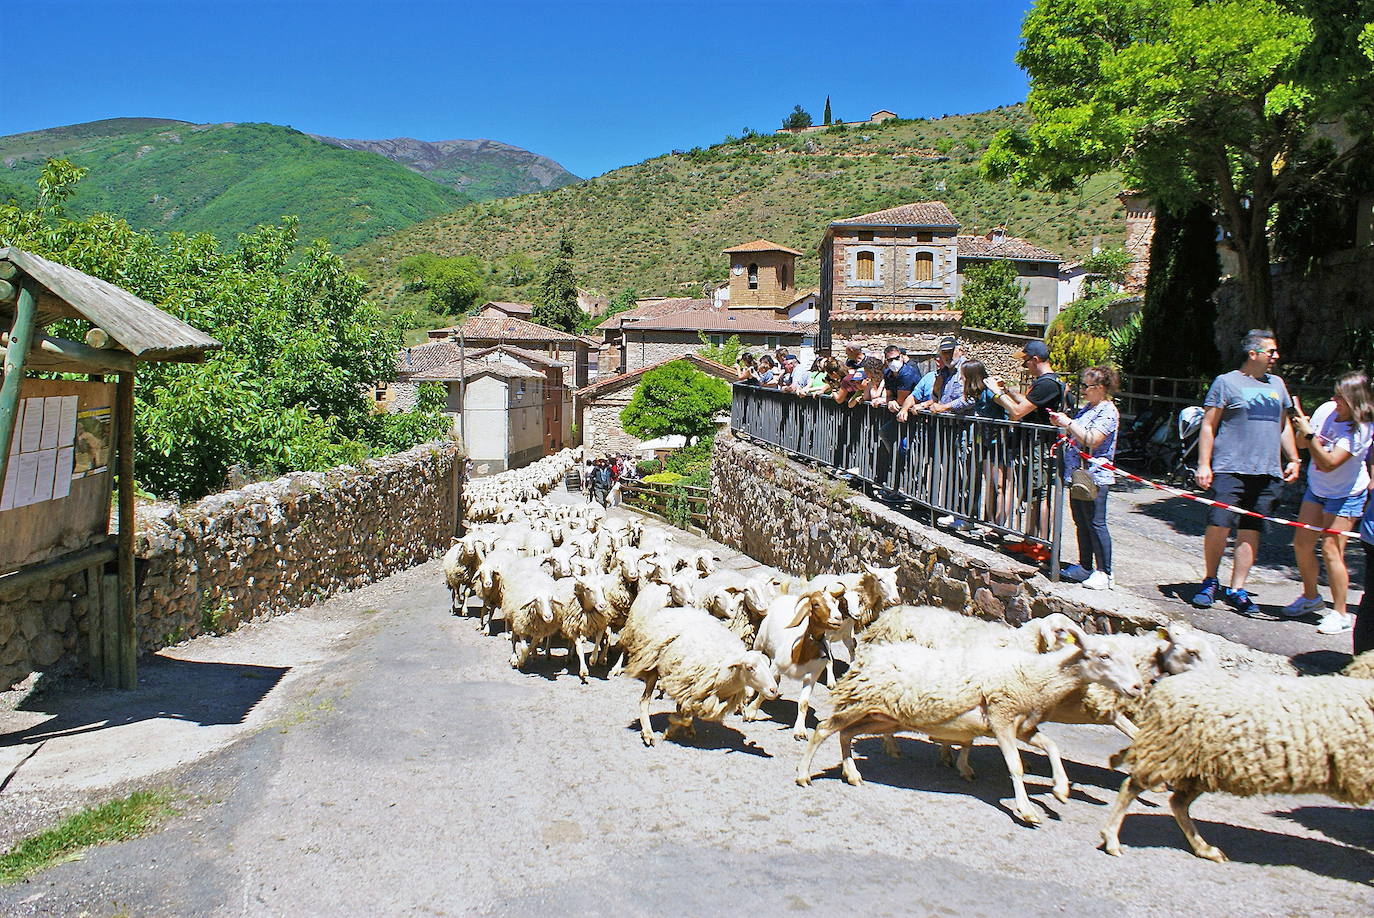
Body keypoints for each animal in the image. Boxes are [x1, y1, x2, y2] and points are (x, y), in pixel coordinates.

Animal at [626, 604, 785, 747]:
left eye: (768, 665)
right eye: (750, 667)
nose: (773, 690)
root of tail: (669, 610)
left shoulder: (696, 695)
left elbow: (687, 716)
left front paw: (673, 729)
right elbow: (686, 717)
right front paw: (670, 728)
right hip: (652, 663)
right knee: (644, 700)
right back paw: (648, 733)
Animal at [791, 626, 1143, 830]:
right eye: (1104, 655)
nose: (1137, 687)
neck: (1035, 676)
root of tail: (867, 657)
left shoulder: (1024, 726)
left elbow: (1052, 747)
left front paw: (1060, 789)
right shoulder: (1002, 717)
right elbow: (1015, 766)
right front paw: (1027, 810)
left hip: (882, 714)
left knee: (846, 734)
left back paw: (852, 774)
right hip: (864, 703)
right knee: (825, 729)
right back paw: (804, 774)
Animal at [1099, 667, 1374, 863]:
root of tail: (1162, 686)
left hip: (1197, 765)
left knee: (1177, 803)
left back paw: (1205, 849)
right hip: (1170, 752)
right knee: (1131, 787)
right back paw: (1111, 838)